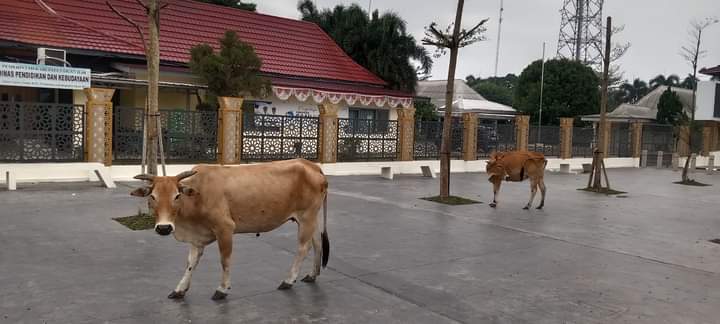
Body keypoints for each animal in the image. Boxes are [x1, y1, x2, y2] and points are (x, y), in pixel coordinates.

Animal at [130, 158, 330, 300]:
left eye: (177, 196)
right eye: (152, 196)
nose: (164, 228)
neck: (197, 195)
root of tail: (312, 165)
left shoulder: (224, 228)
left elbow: (224, 260)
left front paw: (222, 289)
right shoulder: (196, 238)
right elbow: (190, 263)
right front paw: (180, 289)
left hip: (306, 217)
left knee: (303, 248)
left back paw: (288, 280)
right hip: (311, 218)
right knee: (317, 243)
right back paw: (312, 274)